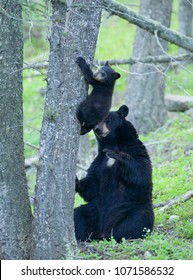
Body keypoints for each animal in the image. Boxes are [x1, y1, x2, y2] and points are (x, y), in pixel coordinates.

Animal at [74, 105, 155, 243]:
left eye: (108, 120)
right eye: (95, 122)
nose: (98, 129)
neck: (113, 143)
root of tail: (103, 230)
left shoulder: (138, 152)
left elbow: (141, 173)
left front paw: (116, 155)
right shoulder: (99, 161)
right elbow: (93, 184)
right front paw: (76, 181)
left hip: (133, 208)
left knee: (138, 220)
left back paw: (119, 236)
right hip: (94, 210)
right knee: (78, 215)